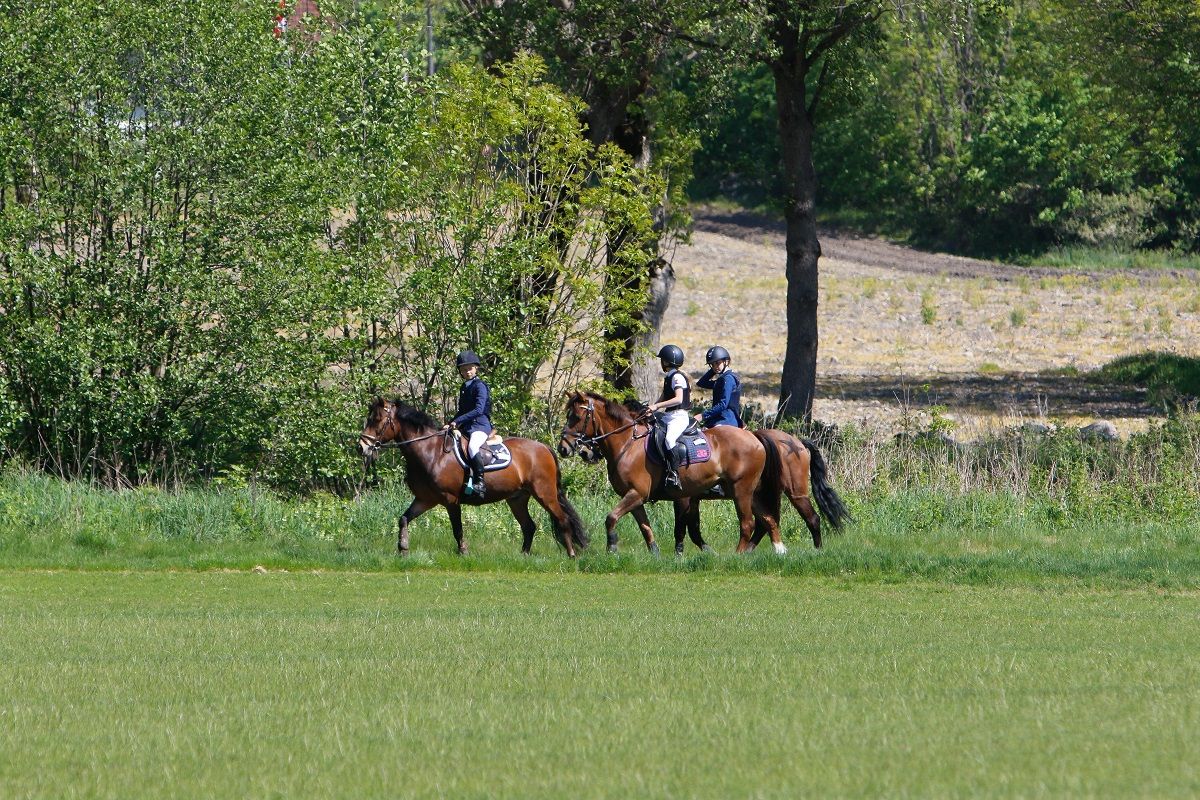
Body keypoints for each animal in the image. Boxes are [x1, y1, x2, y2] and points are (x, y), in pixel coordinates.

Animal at [362, 398, 592, 556]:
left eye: (377, 420)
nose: (362, 447)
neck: (429, 451)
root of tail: (544, 447)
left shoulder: (450, 500)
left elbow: (457, 529)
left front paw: (463, 551)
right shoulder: (425, 499)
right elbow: (403, 518)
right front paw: (403, 547)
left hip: (545, 494)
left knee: (562, 520)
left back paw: (572, 554)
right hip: (517, 498)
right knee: (529, 526)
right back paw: (524, 556)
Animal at [676, 429, 854, 554]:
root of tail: (797, 443)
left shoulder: (685, 498)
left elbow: (684, 527)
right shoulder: (693, 499)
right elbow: (692, 528)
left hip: (791, 493)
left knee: (811, 518)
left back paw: (817, 550)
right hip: (762, 494)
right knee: (768, 521)